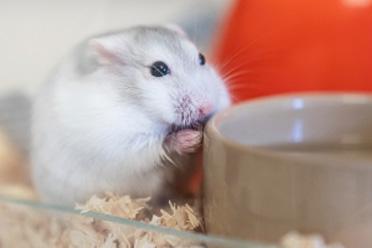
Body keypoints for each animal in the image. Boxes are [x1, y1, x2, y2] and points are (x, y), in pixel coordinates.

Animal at [31, 24, 230, 205]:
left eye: (202, 58)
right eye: (158, 69)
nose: (206, 107)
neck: (143, 108)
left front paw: (200, 135)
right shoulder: (121, 142)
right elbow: (158, 145)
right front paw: (189, 138)